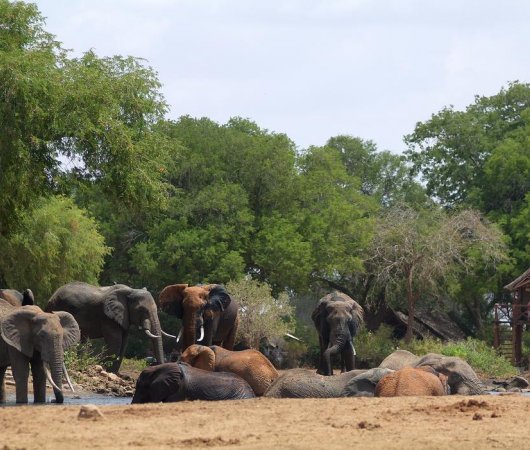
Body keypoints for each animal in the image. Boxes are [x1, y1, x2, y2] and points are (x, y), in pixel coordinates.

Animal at [45, 282, 173, 372]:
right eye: (142, 310)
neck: (130, 291)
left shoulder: (124, 318)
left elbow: (124, 343)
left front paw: (113, 373)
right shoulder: (108, 317)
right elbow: (116, 342)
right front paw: (107, 371)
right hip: (56, 307)